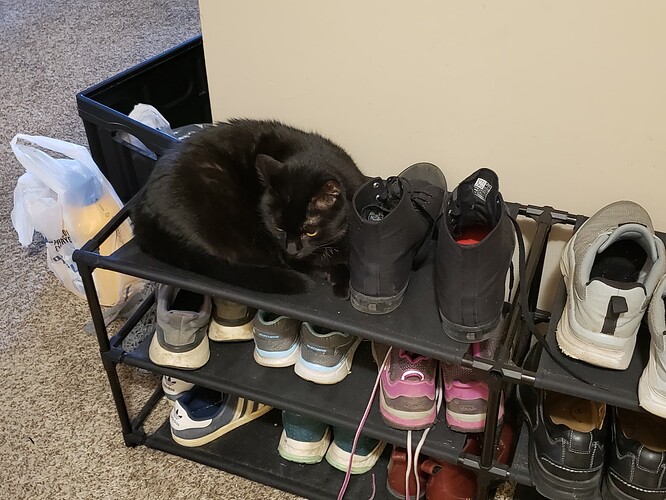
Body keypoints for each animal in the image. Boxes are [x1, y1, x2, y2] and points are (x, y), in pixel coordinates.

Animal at [132, 117, 366, 296]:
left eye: (310, 231)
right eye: (278, 227)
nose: (291, 249)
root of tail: (144, 205)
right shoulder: (288, 255)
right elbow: (320, 264)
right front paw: (341, 283)